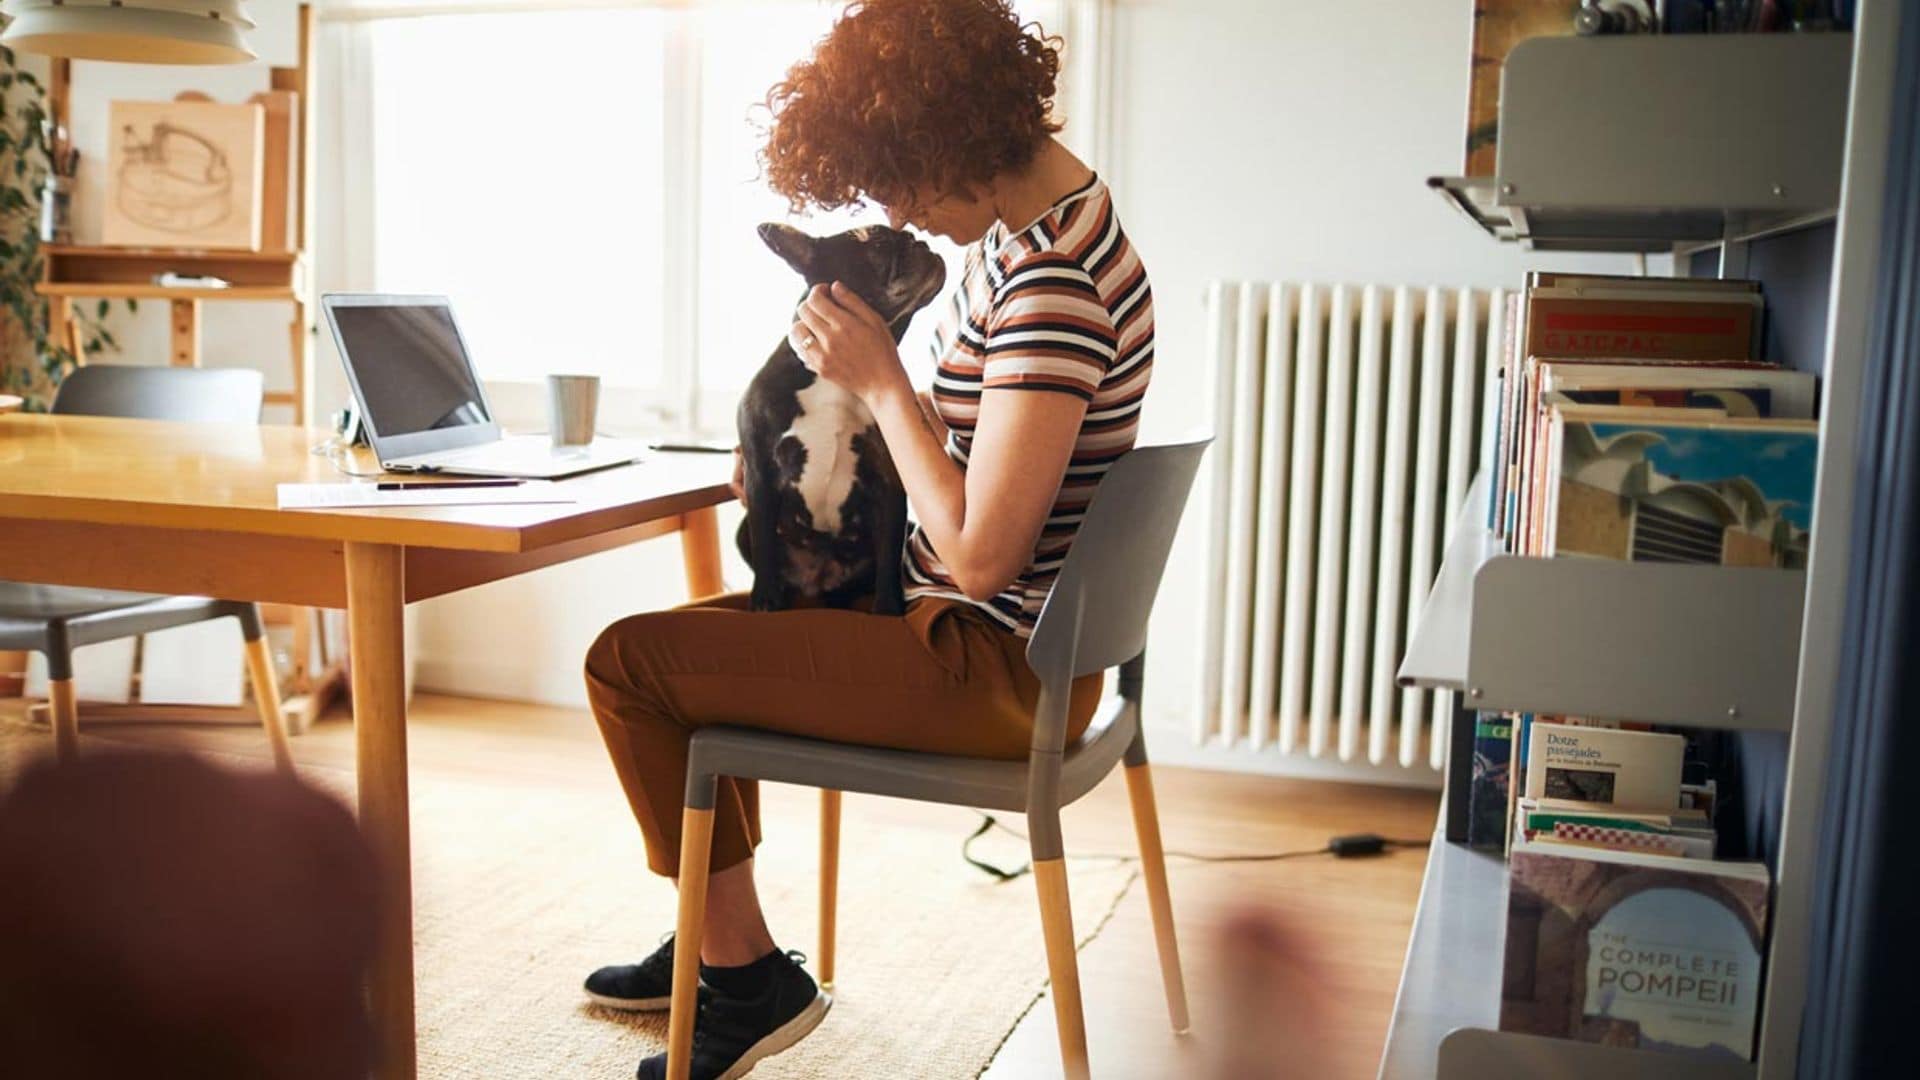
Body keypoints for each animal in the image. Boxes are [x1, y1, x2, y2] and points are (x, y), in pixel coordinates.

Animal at [733, 224, 944, 614]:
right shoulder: (759, 475)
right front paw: (766, 601)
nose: (920, 242)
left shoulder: (890, 483)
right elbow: (765, 544)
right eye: (878, 242)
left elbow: (889, 553)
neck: (837, 379)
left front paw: (888, 608)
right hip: (744, 531)